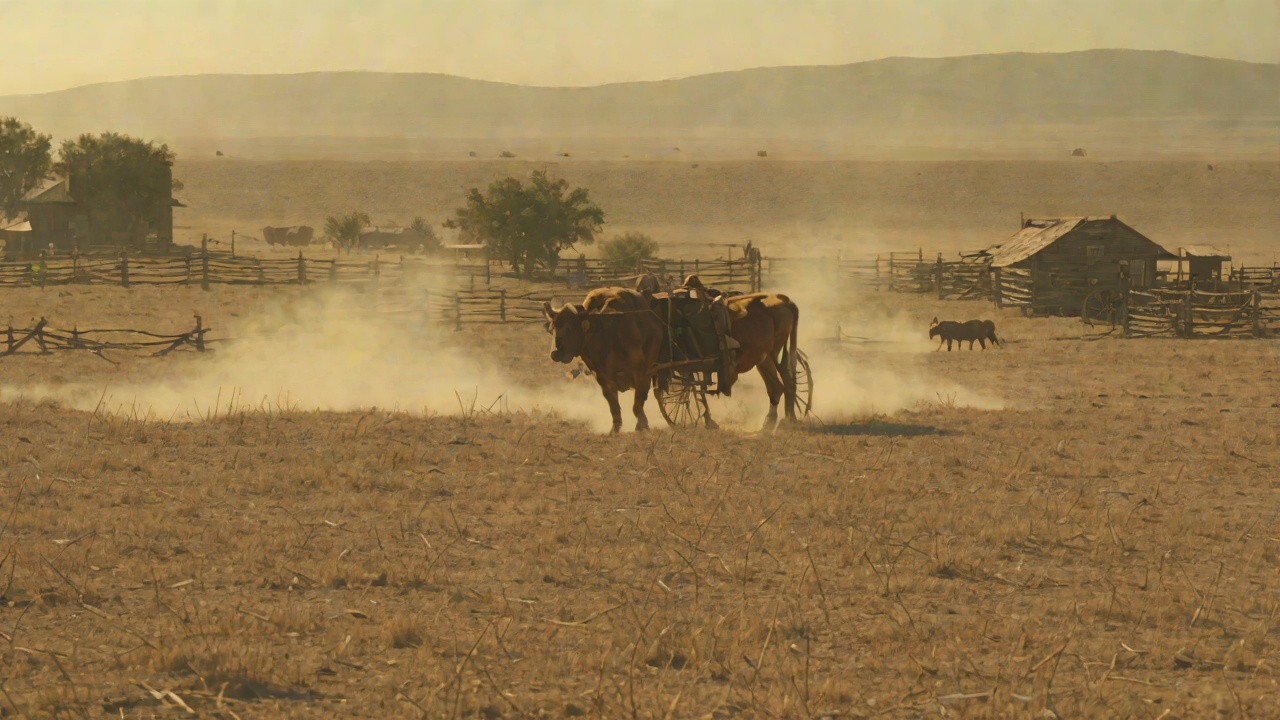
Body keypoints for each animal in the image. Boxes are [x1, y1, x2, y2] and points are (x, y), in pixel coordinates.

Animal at [543, 288, 664, 433]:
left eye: (568, 328)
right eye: (553, 328)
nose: (555, 354)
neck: (609, 336)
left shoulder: (643, 373)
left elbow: (638, 402)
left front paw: (642, 425)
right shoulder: (602, 377)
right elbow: (613, 405)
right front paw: (615, 429)